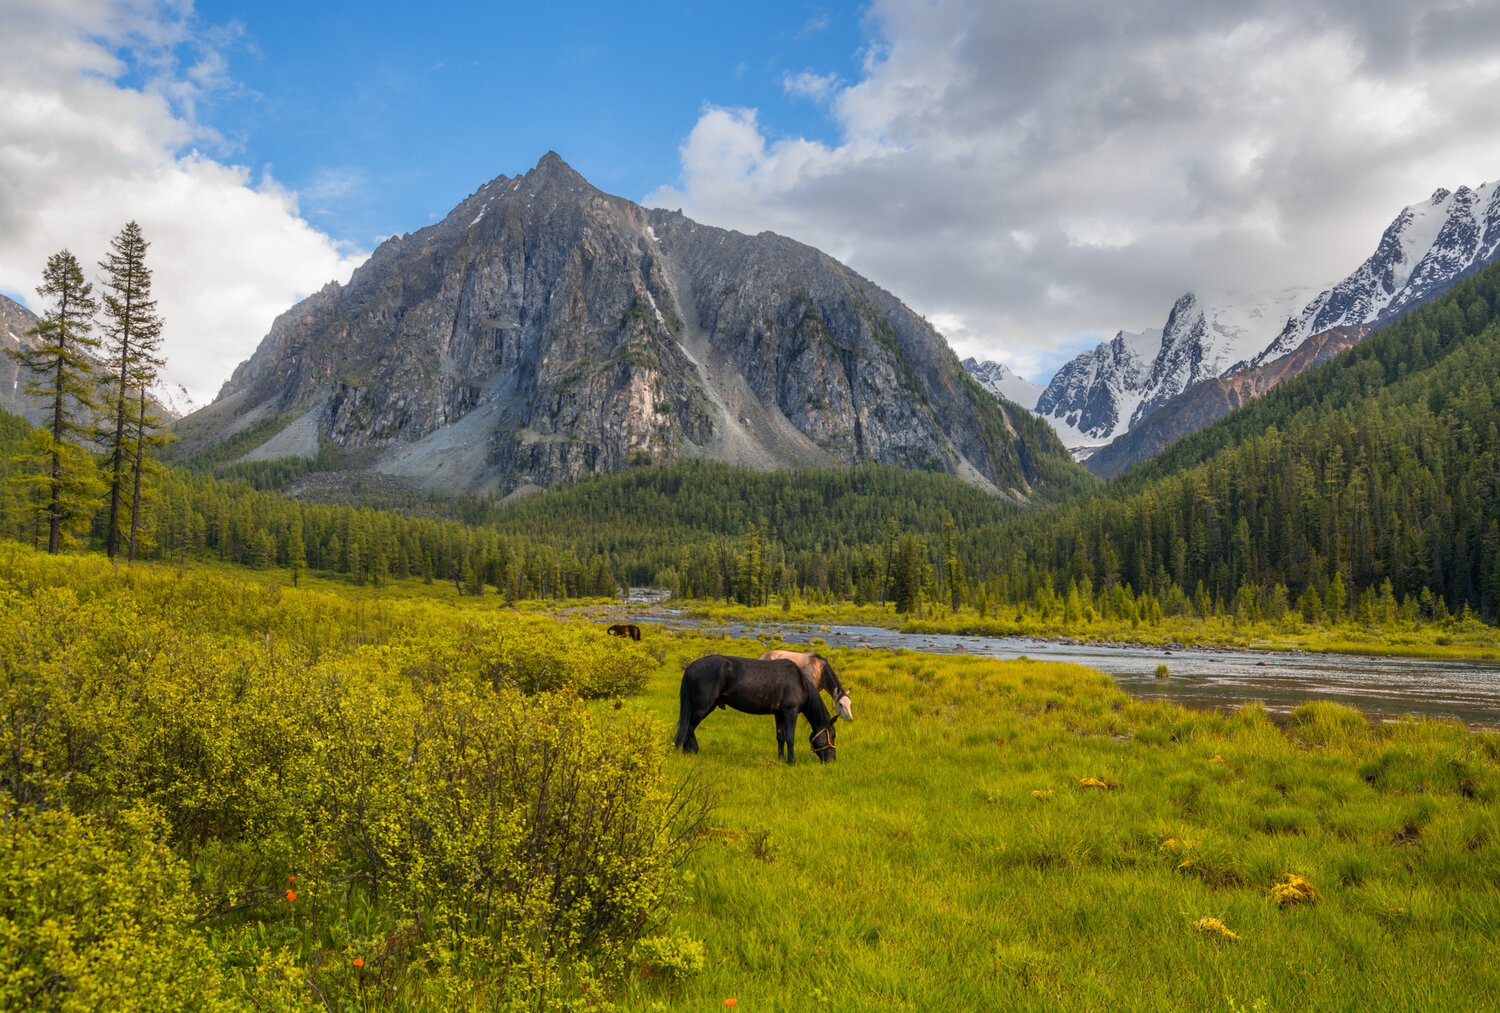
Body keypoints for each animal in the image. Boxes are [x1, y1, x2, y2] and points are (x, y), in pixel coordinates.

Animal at [674, 655, 837, 764]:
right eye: (833, 735)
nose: (832, 760)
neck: (800, 682)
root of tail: (691, 667)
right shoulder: (791, 712)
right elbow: (790, 738)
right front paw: (791, 761)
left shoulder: (779, 714)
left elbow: (781, 737)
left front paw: (781, 759)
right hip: (703, 707)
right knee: (689, 727)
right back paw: (691, 750)